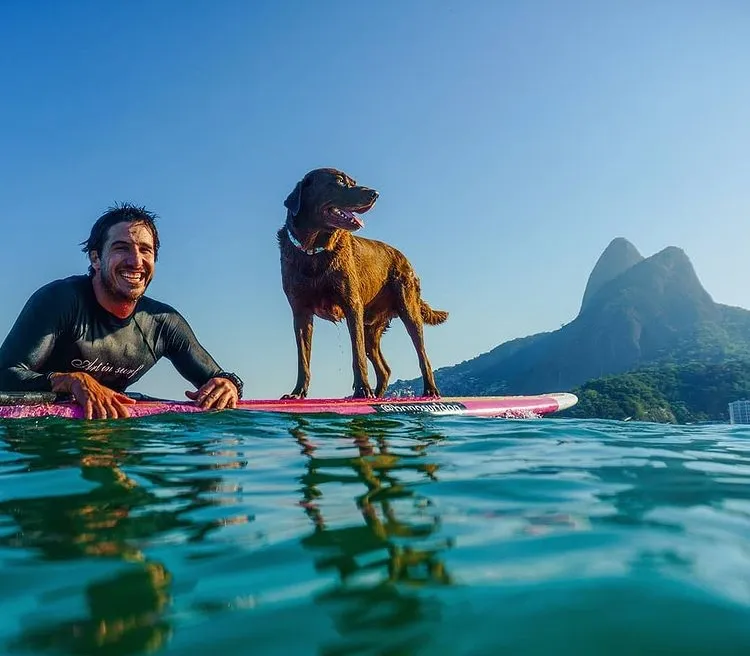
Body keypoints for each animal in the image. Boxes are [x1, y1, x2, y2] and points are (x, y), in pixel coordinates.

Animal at [280, 167, 450, 398]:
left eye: (353, 182)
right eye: (339, 181)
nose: (375, 194)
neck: (314, 250)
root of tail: (404, 258)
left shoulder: (352, 305)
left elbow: (357, 354)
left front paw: (362, 389)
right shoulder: (300, 312)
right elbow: (303, 358)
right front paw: (298, 392)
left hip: (408, 310)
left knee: (423, 355)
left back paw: (429, 390)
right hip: (371, 328)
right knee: (385, 369)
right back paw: (378, 396)